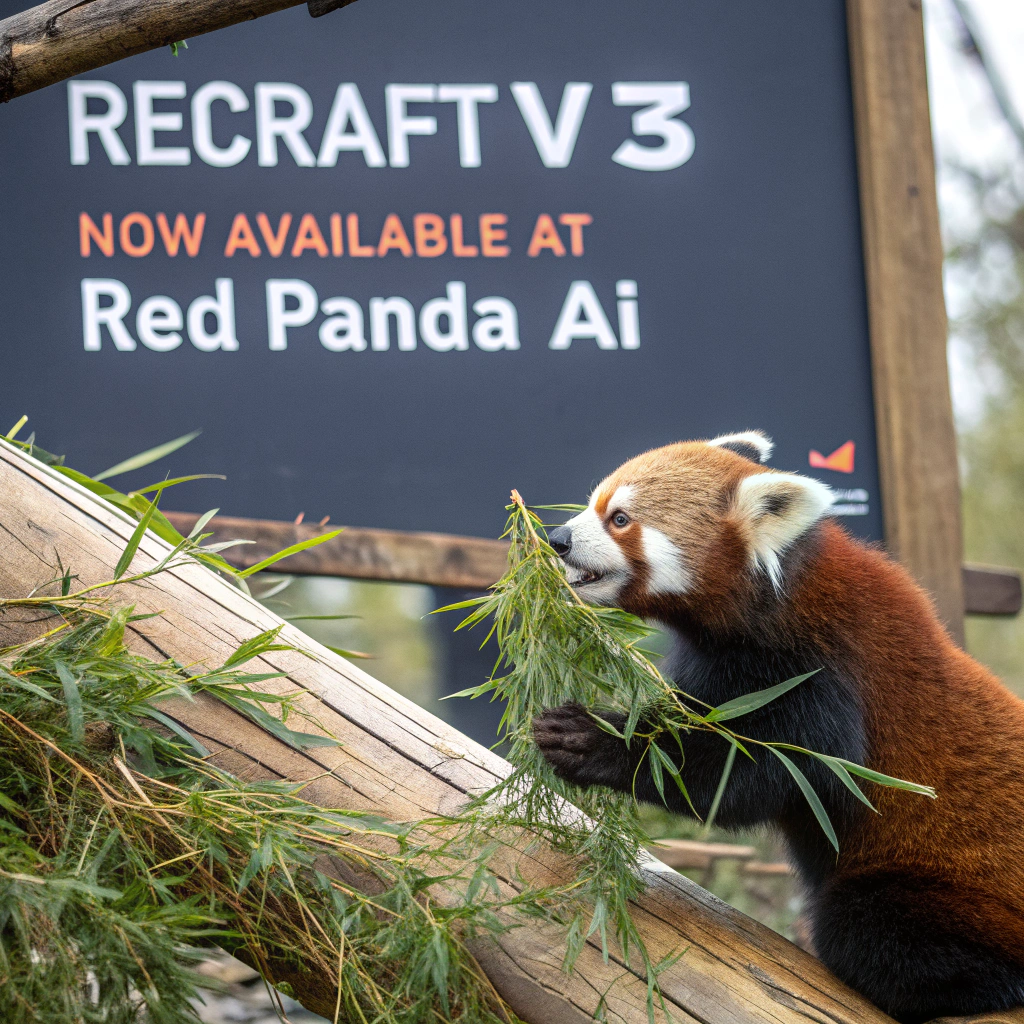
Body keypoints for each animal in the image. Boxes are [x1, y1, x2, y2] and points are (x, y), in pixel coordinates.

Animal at [533, 432, 1024, 1024]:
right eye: (592, 505)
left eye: (620, 519)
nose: (558, 539)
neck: (776, 599)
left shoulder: (818, 675)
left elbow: (742, 774)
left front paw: (591, 738)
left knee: (860, 930)